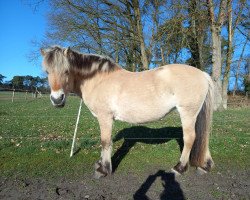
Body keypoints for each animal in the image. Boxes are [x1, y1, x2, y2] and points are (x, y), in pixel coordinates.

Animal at [41, 45, 215, 178]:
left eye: (66, 71)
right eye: (47, 72)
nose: (57, 99)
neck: (99, 80)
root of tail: (202, 74)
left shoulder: (105, 117)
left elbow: (105, 141)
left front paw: (103, 170)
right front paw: (100, 164)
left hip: (188, 113)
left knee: (190, 138)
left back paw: (179, 168)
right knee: (204, 136)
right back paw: (204, 166)